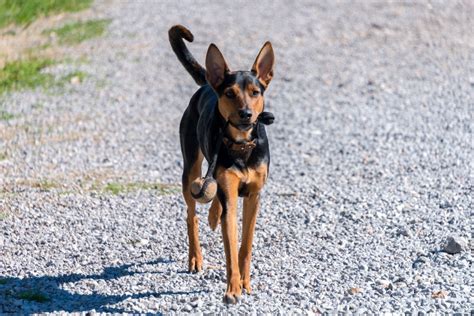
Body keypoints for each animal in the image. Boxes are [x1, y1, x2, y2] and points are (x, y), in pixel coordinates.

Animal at [169, 25, 274, 304]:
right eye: (229, 94)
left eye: (255, 93)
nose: (246, 114)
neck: (242, 145)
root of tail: (208, 84)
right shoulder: (230, 194)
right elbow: (231, 248)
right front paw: (233, 289)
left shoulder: (253, 196)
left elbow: (245, 245)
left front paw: (246, 283)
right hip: (191, 169)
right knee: (191, 215)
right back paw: (195, 257)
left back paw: (213, 214)